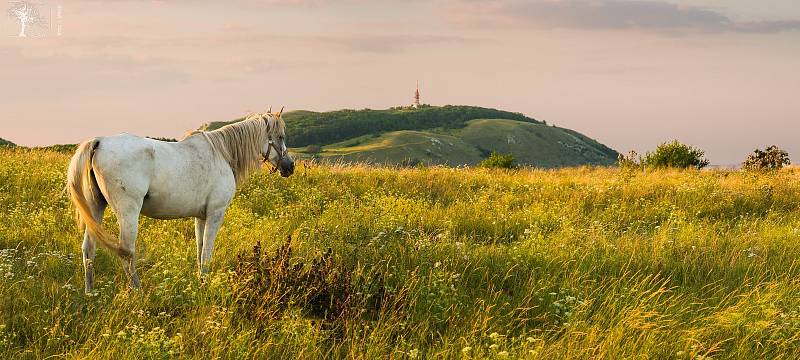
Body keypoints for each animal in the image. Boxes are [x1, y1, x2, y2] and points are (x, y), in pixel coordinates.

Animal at [67, 109, 294, 292]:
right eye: (280, 136)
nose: (290, 167)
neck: (222, 154)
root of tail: (99, 142)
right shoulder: (215, 214)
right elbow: (207, 252)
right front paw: (204, 283)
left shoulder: (201, 217)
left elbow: (200, 249)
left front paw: (200, 281)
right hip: (128, 214)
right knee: (126, 252)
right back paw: (138, 292)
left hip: (96, 208)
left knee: (89, 249)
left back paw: (90, 293)